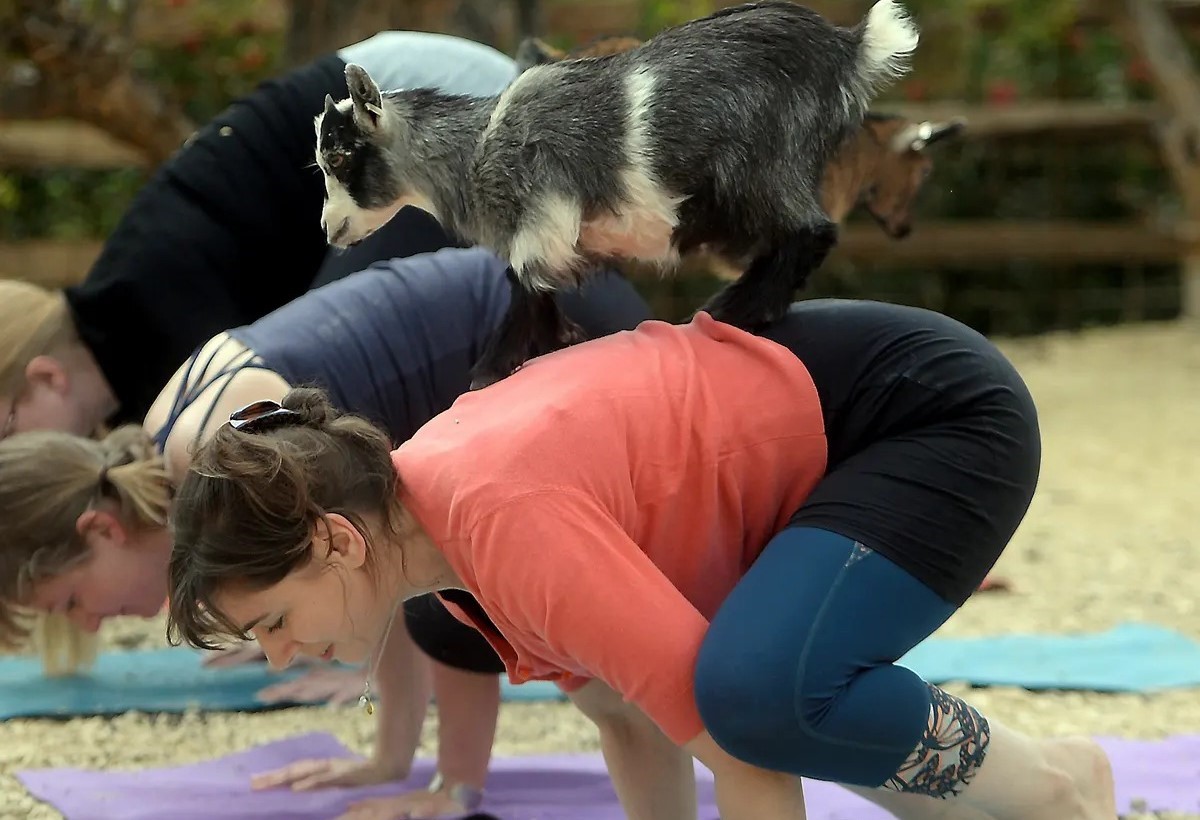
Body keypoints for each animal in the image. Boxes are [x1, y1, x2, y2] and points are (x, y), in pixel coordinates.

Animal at [312, 0, 916, 388]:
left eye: (339, 157)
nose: (327, 229)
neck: (476, 149)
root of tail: (845, 48)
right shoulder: (548, 244)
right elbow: (539, 297)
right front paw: (558, 343)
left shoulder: (543, 221)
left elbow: (521, 293)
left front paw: (486, 376)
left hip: (765, 165)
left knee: (812, 231)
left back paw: (737, 310)